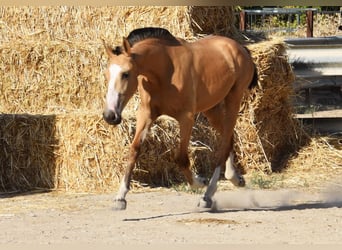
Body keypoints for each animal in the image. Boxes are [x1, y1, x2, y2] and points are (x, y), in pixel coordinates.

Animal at [103, 26, 258, 210]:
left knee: (223, 144)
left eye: (126, 74)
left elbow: (181, 158)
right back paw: (234, 178)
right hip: (211, 109)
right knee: (229, 138)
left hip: (233, 100)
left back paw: (207, 195)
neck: (165, 70)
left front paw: (200, 181)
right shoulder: (146, 114)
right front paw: (120, 198)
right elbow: (134, 150)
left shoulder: (186, 118)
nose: (110, 115)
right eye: (106, 74)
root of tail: (241, 48)